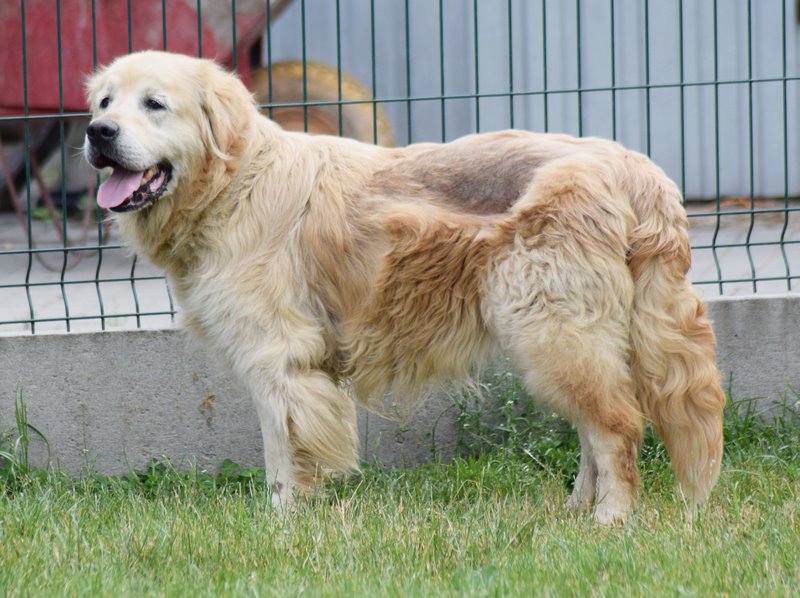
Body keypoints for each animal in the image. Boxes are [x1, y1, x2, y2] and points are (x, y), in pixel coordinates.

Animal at [84, 50, 728, 524]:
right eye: (105, 101)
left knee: (617, 428)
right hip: (564, 341)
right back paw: (573, 511)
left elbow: (282, 457)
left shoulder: (276, 359)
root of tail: (634, 167)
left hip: (553, 333)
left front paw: (282, 523)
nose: (97, 132)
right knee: (595, 431)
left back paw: (610, 520)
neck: (233, 184)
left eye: (155, 104)